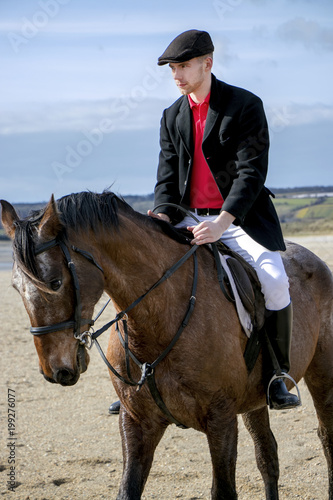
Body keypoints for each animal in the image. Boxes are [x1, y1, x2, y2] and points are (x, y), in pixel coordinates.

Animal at [0, 189, 332, 498]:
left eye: (55, 283)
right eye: (15, 286)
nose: (55, 371)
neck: (157, 320)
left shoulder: (221, 419)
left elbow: (223, 490)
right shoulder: (136, 421)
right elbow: (128, 489)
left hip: (321, 375)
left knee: (326, 438)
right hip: (254, 401)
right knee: (268, 457)